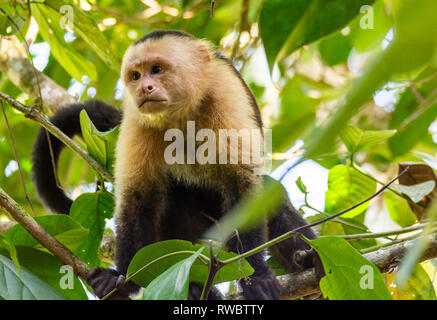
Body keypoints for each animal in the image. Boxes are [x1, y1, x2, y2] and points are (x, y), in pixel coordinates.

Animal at [31, 30, 316, 300]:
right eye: (136, 75)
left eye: (157, 69)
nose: (144, 87)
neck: (182, 115)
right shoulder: (137, 118)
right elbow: (137, 198)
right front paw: (123, 277)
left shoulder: (225, 91)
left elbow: (243, 185)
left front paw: (254, 277)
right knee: (175, 200)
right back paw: (196, 288)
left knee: (269, 193)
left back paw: (310, 261)